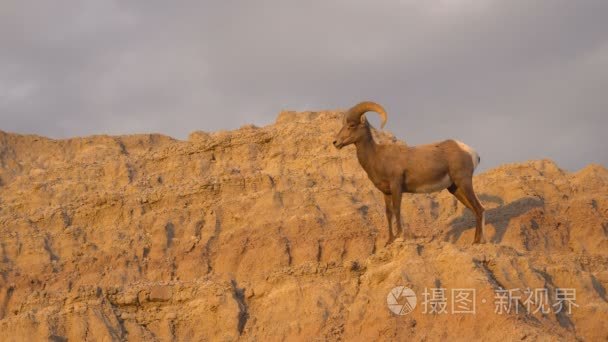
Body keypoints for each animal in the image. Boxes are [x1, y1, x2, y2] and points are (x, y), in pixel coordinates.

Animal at [332, 101, 484, 246]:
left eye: (352, 125)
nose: (335, 142)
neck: (376, 156)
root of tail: (471, 152)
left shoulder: (396, 187)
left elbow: (397, 209)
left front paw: (399, 236)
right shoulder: (386, 192)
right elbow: (388, 213)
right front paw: (389, 241)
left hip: (464, 182)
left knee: (479, 208)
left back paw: (476, 242)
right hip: (454, 188)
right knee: (474, 209)